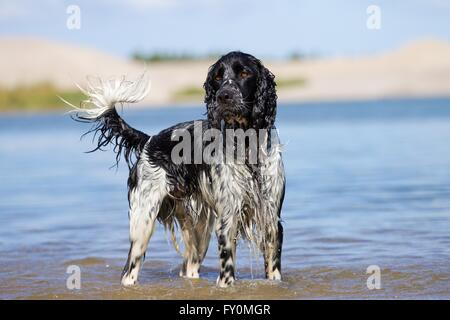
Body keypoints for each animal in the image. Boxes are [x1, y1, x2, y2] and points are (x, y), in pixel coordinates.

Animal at [72, 52, 286, 288]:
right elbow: (227, 274)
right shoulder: (227, 220)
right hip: (142, 222)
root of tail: (150, 140)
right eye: (218, 77)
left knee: (189, 267)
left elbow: (274, 271)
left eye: (245, 73)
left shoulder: (271, 219)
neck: (247, 146)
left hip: (199, 228)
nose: (224, 96)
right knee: (129, 271)